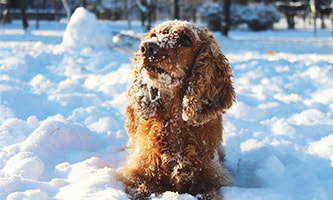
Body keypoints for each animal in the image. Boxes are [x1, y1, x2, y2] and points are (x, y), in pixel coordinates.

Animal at [118, 19, 235, 198]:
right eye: (154, 35)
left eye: (186, 40)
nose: (147, 47)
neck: (175, 123)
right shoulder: (138, 173)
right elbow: (141, 188)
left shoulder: (212, 176)